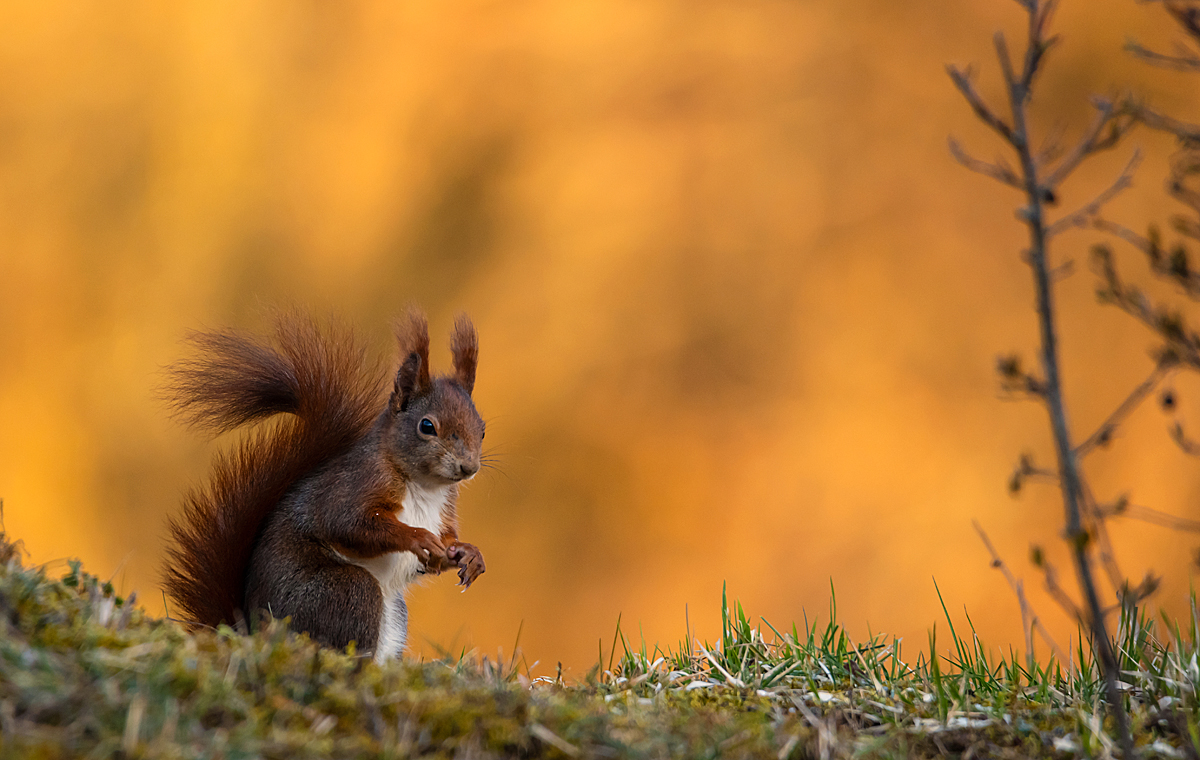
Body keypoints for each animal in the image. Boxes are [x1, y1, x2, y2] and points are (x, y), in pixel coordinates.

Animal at [162, 312, 484, 662]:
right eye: (427, 426)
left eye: (482, 429)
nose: (469, 468)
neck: (425, 487)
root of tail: (250, 631)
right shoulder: (352, 486)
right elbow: (349, 525)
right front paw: (418, 537)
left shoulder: (444, 512)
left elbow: (441, 550)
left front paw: (468, 554)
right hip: (343, 591)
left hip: (394, 613)